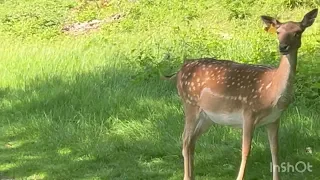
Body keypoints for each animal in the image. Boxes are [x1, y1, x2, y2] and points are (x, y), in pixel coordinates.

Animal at [164, 8, 318, 180]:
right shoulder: (249, 113)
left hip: (207, 117)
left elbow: (275, 150)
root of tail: (180, 70)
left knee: (191, 140)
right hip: (190, 104)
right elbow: (246, 151)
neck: (272, 92)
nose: (283, 47)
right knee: (185, 139)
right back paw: (186, 175)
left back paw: (192, 175)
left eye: (298, 32)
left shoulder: (274, 119)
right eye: (278, 32)